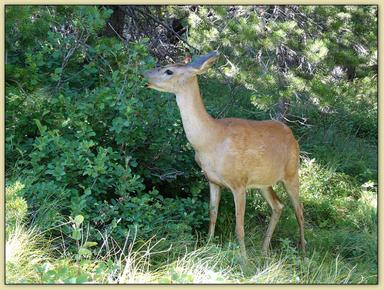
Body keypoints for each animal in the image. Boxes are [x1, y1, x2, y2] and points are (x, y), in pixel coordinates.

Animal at [143, 51, 306, 258]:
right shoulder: (213, 180)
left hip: (292, 173)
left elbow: (239, 227)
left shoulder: (239, 182)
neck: (209, 140)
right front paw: (207, 246)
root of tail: (292, 135)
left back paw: (303, 252)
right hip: (263, 181)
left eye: (169, 71)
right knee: (278, 206)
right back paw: (264, 250)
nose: (144, 74)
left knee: (299, 210)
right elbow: (212, 214)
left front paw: (244, 260)